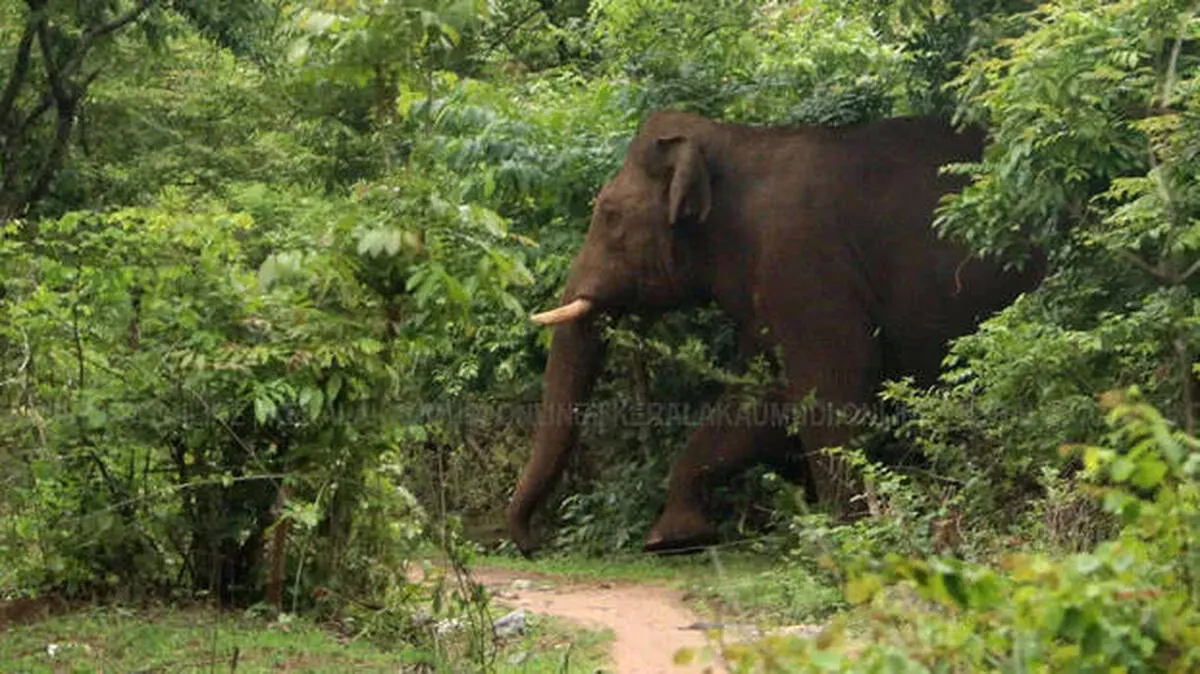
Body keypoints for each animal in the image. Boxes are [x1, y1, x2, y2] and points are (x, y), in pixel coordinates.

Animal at [507, 110, 1045, 555]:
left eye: (609, 216)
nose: (532, 544)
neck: (735, 142)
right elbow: (759, 403)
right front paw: (674, 539)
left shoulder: (802, 262)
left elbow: (834, 387)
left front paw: (845, 538)